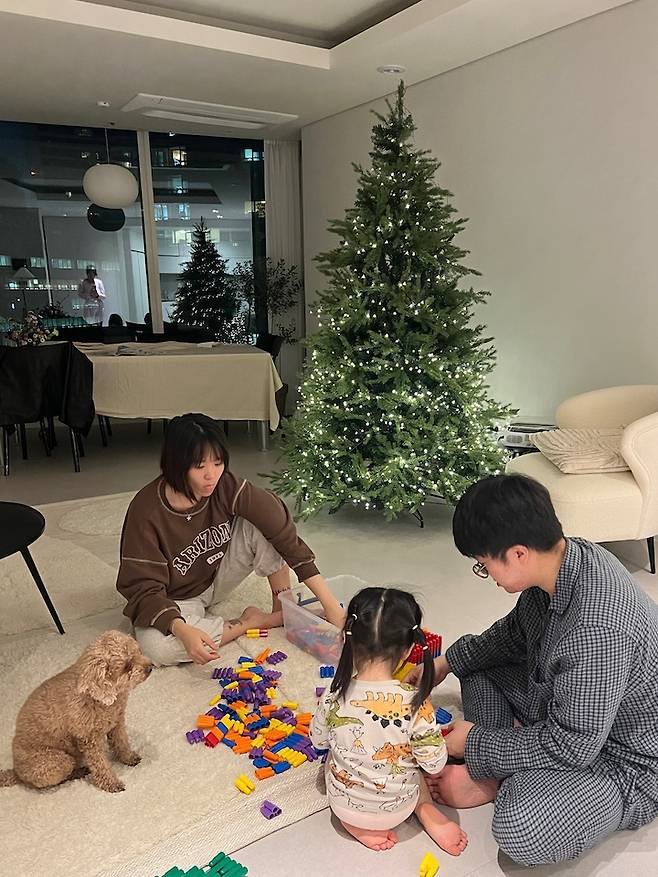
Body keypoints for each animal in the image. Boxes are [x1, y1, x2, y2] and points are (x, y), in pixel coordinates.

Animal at [0, 630, 152, 793]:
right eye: (126, 666)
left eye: (138, 651)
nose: (150, 667)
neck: (97, 698)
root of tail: (16, 773)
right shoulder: (90, 739)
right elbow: (100, 765)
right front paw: (111, 783)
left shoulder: (116, 723)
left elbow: (122, 743)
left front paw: (129, 758)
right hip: (58, 762)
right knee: (56, 780)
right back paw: (80, 772)